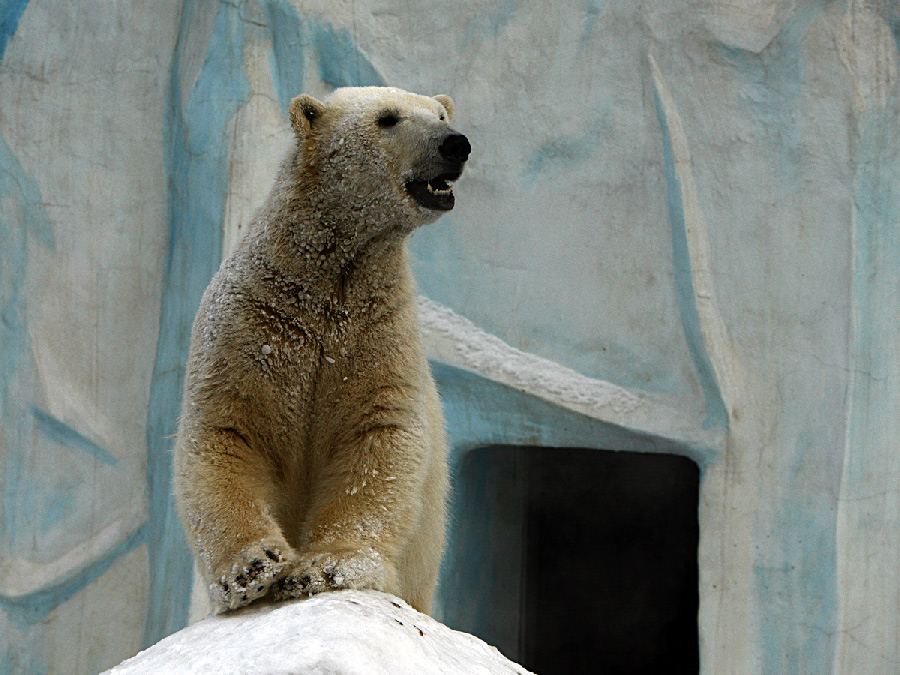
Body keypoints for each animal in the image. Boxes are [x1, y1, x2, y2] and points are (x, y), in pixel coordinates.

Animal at [174, 87, 472, 616]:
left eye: (440, 114)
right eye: (388, 118)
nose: (455, 144)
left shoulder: (379, 333)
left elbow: (379, 438)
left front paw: (325, 567)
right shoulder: (247, 323)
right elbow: (225, 430)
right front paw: (251, 568)